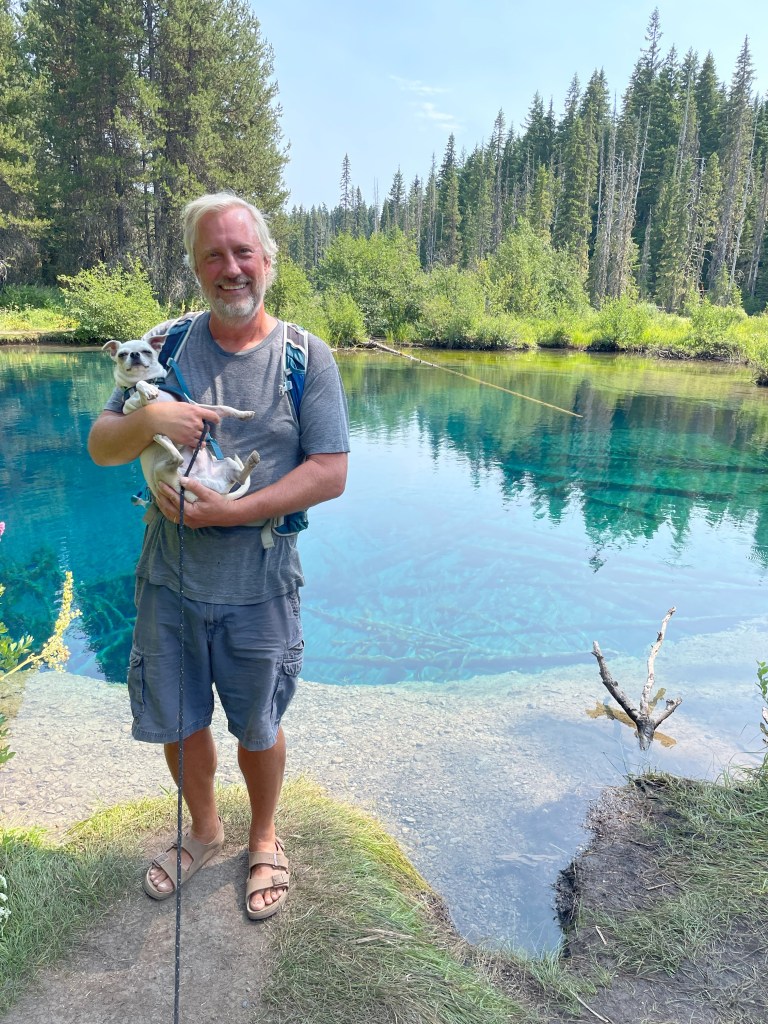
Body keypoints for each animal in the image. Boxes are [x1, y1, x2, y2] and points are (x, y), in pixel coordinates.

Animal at [103, 337, 260, 505]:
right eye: (122, 354)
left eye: (147, 351)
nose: (134, 354)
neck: (152, 381)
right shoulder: (142, 407)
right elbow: (139, 385)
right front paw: (147, 389)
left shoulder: (196, 406)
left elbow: (223, 408)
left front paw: (244, 414)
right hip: (161, 470)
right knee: (177, 459)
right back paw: (163, 440)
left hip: (228, 462)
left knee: (240, 479)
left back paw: (252, 461)